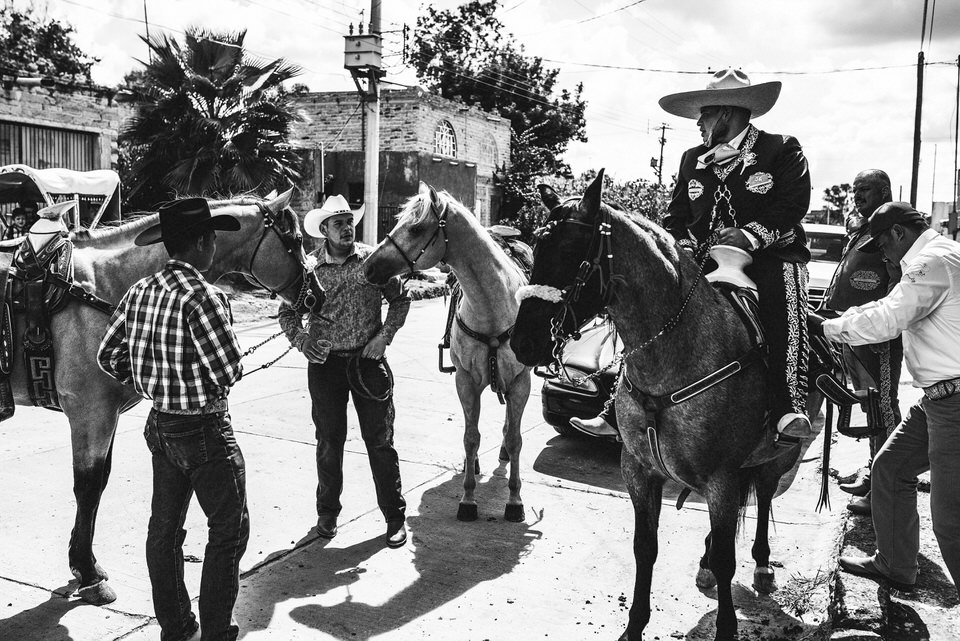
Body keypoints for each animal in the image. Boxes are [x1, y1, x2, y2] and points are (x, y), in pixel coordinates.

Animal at [0, 190, 326, 604]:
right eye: (296, 240)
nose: (318, 296)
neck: (105, 284)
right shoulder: (91, 412)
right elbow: (87, 487)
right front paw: (87, 572)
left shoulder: (105, 416)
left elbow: (99, 483)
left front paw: (83, 561)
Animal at [366, 182, 532, 524]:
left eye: (416, 228)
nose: (368, 266)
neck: (493, 306)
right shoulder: (466, 380)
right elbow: (470, 437)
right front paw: (468, 499)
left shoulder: (521, 381)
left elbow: (515, 438)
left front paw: (514, 500)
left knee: (509, 430)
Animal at [512, 171, 808, 640]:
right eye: (536, 247)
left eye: (574, 253)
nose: (523, 342)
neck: (676, 355)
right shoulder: (639, 469)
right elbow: (645, 547)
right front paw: (635, 623)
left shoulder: (722, 477)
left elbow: (728, 559)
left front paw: (726, 626)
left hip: (777, 456)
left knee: (762, 498)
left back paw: (762, 562)